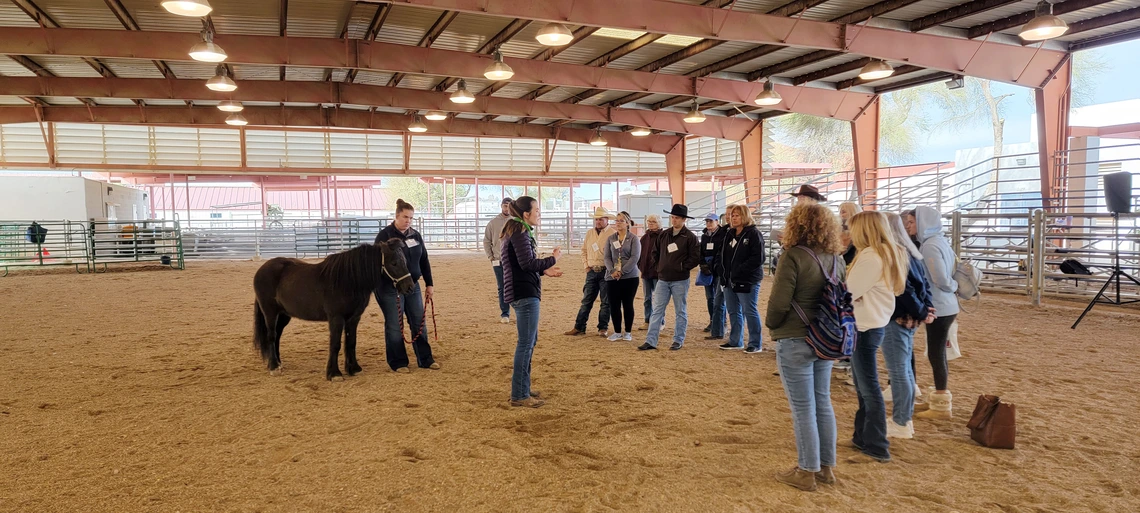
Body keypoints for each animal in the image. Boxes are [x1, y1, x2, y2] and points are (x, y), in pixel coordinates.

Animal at [251, 238, 412, 378]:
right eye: (394, 263)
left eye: (405, 261)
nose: (410, 287)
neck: (348, 281)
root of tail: (262, 270)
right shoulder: (336, 318)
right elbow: (335, 345)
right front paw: (334, 374)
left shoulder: (354, 318)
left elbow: (351, 342)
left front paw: (353, 369)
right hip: (270, 312)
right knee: (271, 336)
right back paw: (273, 367)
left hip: (284, 314)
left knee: (277, 335)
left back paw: (278, 363)